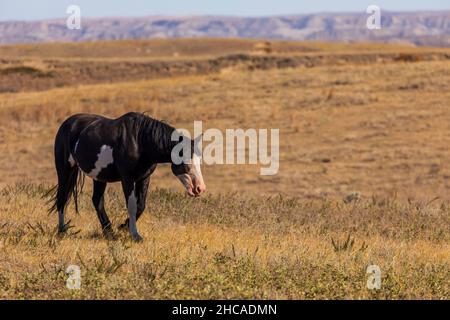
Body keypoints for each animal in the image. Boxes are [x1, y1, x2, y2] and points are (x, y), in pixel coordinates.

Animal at [49, 112, 206, 240]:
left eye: (199, 161)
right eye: (186, 161)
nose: (200, 188)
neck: (140, 141)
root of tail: (67, 124)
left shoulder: (144, 178)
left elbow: (141, 205)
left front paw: (123, 226)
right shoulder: (127, 179)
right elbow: (131, 205)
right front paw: (135, 234)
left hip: (99, 176)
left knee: (97, 201)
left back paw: (109, 232)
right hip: (65, 171)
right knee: (62, 198)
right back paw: (62, 231)